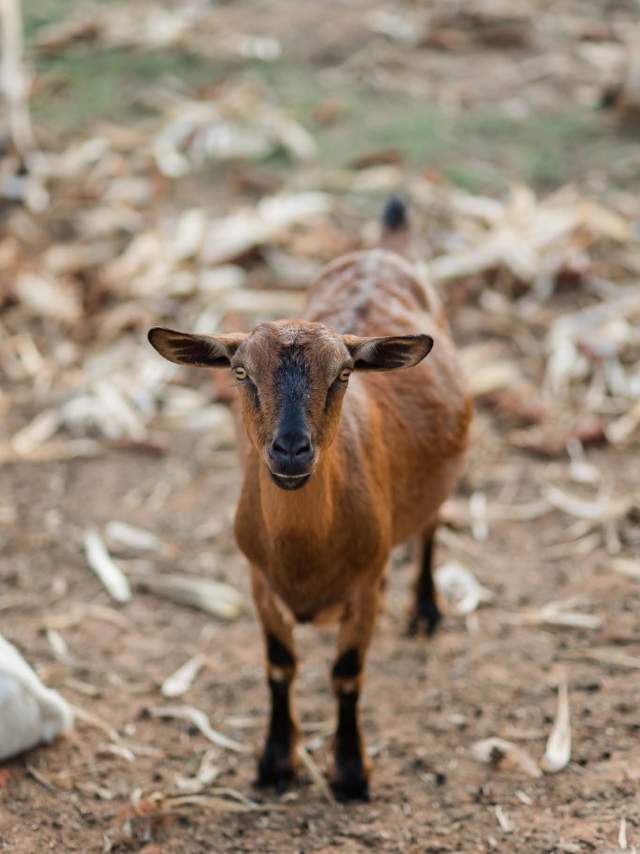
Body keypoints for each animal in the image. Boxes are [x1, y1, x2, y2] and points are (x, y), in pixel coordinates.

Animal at [148, 197, 471, 801]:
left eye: (344, 374)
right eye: (241, 372)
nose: (292, 450)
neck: (305, 556)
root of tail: (380, 251)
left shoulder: (366, 587)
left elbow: (346, 673)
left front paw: (350, 773)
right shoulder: (258, 580)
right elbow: (280, 665)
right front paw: (276, 763)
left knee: (432, 524)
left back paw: (425, 610)